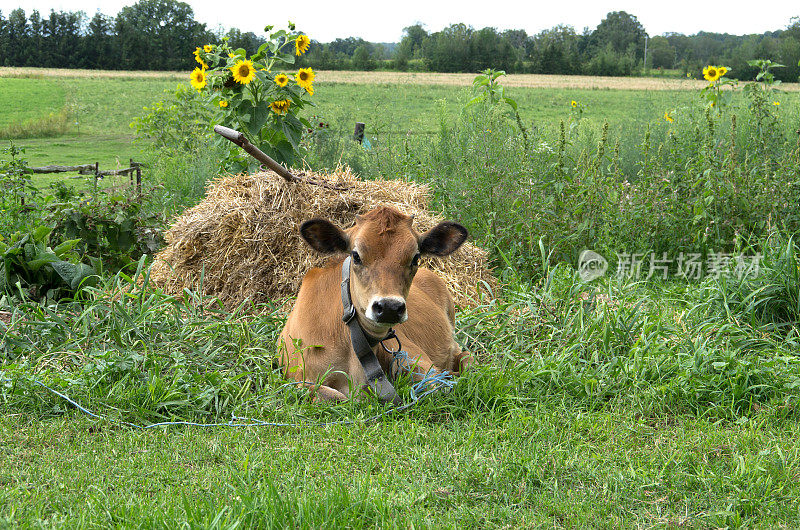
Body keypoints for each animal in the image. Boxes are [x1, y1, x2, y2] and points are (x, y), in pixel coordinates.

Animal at [278, 204, 472, 398]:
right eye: (356, 255)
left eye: (416, 258)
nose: (389, 307)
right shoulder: (298, 379)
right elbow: (327, 395)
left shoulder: (420, 361)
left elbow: (435, 386)